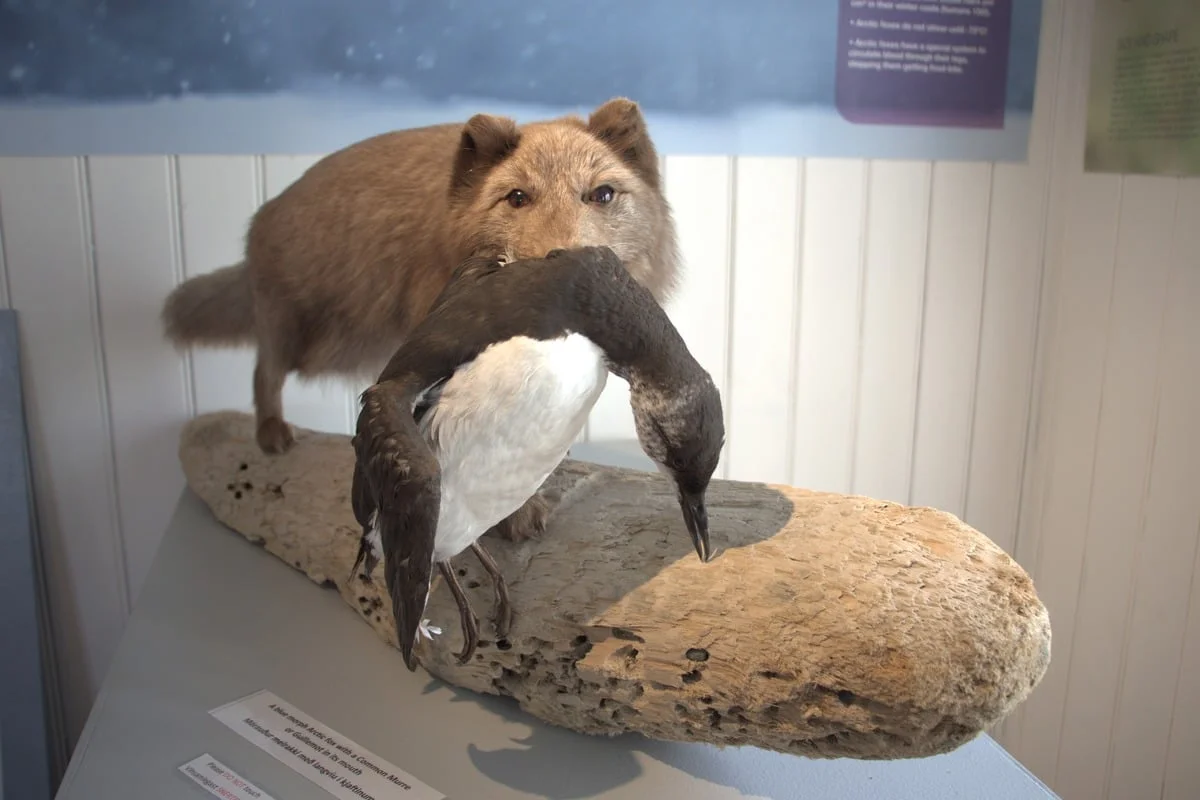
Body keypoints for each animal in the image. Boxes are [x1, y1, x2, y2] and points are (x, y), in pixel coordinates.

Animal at [160, 96, 681, 543]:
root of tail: (262, 216)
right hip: (296, 334)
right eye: (517, 198)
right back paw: (271, 434)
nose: (569, 272)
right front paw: (510, 514)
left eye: (602, 194)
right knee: (262, 370)